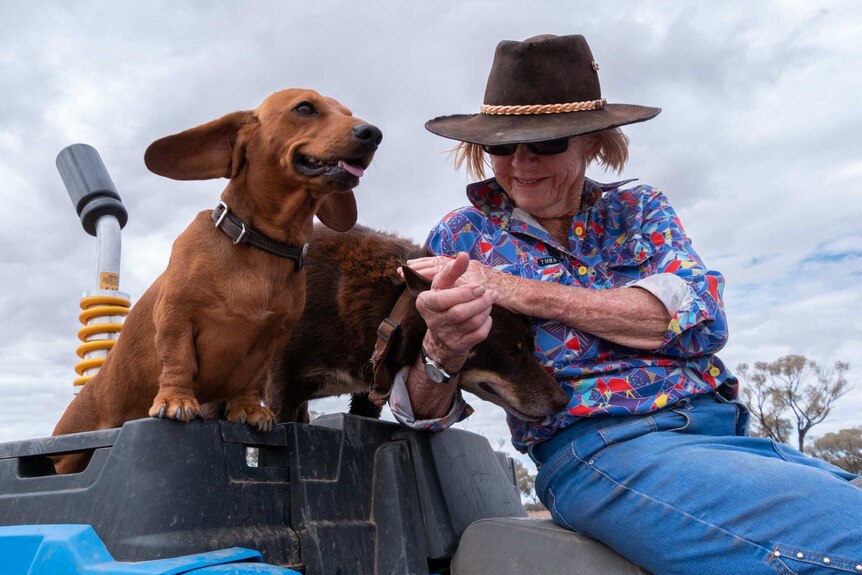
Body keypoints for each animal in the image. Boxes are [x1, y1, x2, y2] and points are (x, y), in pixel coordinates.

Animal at [51, 90, 382, 472]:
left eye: (348, 112)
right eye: (304, 108)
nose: (373, 133)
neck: (259, 247)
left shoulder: (272, 339)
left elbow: (251, 380)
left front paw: (249, 410)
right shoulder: (176, 316)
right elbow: (178, 360)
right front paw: (177, 400)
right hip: (66, 455)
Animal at [266, 225, 572, 424]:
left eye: (531, 346)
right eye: (510, 352)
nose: (563, 401)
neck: (392, 307)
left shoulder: (365, 398)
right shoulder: (281, 392)